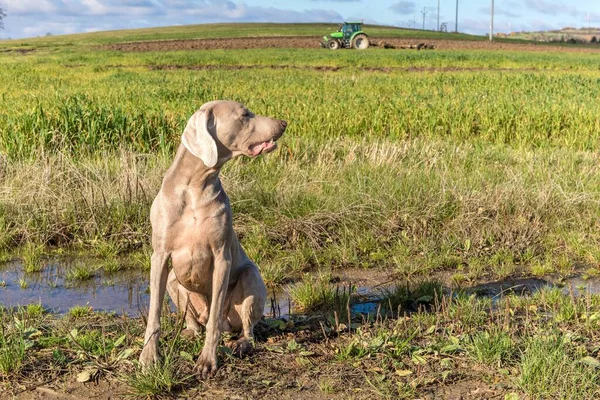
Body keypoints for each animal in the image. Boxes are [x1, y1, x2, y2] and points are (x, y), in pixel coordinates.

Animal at [140, 99, 288, 376]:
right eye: (245, 114)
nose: (283, 123)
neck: (195, 185)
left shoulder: (221, 258)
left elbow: (214, 322)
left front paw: (207, 360)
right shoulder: (160, 256)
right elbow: (154, 313)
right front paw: (149, 357)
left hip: (251, 277)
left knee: (243, 327)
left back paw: (240, 343)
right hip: (174, 279)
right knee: (195, 320)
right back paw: (189, 332)